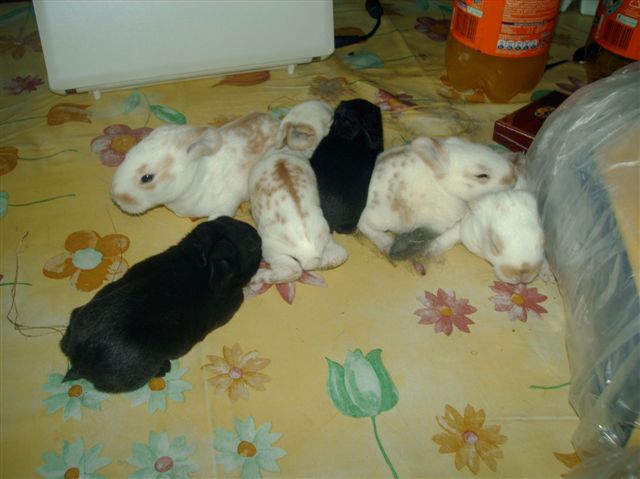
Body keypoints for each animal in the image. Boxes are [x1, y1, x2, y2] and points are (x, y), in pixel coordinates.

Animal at [248, 100, 347, 285]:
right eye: (331, 119)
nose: (333, 108)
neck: (286, 149)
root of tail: (309, 255)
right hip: (329, 240)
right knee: (337, 257)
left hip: (272, 251)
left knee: (290, 271)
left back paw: (259, 277)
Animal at [358, 135, 517, 255]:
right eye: (481, 175)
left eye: (485, 148)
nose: (514, 177)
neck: (445, 187)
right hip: (385, 218)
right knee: (363, 224)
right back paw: (385, 242)